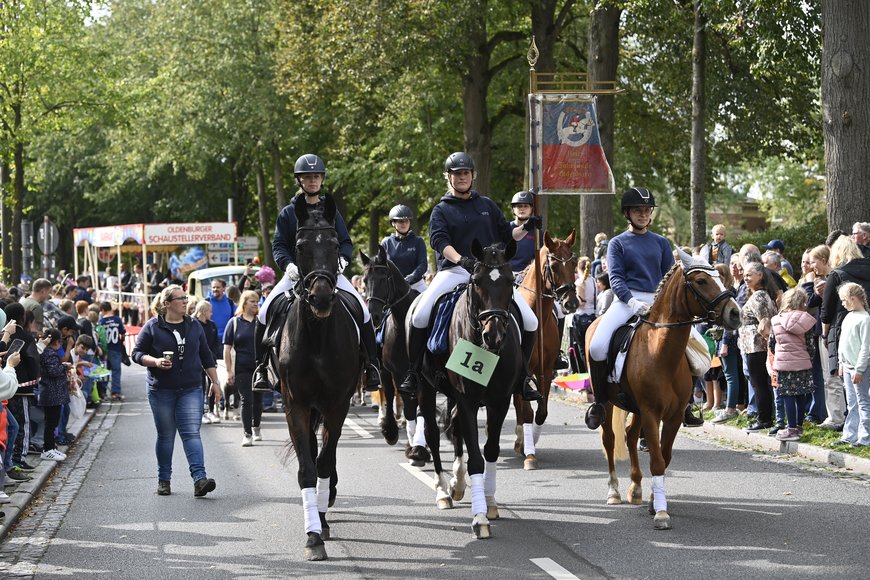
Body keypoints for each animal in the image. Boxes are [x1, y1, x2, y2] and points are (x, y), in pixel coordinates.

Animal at [360, 244, 424, 458]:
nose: (373, 316)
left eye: (383, 278)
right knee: (388, 393)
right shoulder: (395, 371)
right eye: (364, 280)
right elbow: (397, 397)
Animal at [418, 239, 524, 540]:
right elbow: (476, 456)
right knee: (432, 434)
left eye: (511, 280)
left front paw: (489, 501)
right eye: (476, 281)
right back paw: (444, 491)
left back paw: (458, 483)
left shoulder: (500, 400)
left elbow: (490, 451)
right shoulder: (467, 398)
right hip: (425, 388)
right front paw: (479, 518)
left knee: (456, 431)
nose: (494, 334)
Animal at [516, 229, 580, 468]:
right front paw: (529, 455)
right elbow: (526, 412)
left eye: (574, 263)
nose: (571, 303)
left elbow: (541, 412)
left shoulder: (544, 371)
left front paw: (529, 445)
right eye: (553, 266)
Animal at [584, 249, 744, 532]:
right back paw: (614, 491)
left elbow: (664, 456)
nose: (735, 314)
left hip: (636, 408)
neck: (660, 351)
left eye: (720, 277)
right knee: (610, 439)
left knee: (630, 435)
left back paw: (635, 488)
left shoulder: (673, 415)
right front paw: (660, 513)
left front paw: (653, 501)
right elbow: (657, 460)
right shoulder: (650, 413)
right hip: (611, 403)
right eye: (701, 280)